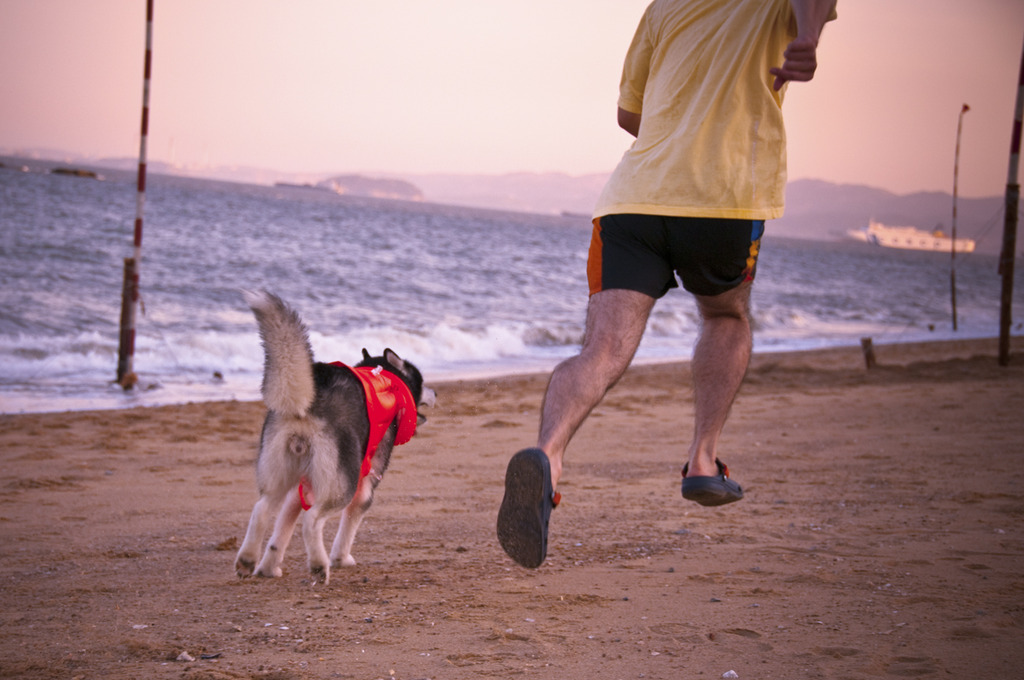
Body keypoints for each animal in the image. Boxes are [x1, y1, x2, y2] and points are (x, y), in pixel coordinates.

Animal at [234, 292, 434, 585]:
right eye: (422, 382)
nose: (436, 392)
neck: (388, 380)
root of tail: (313, 396)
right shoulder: (364, 485)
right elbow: (349, 524)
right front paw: (341, 558)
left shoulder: (302, 487)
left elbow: (280, 531)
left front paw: (269, 567)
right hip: (342, 484)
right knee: (312, 521)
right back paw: (320, 565)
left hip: (281, 473)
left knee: (262, 509)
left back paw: (247, 560)